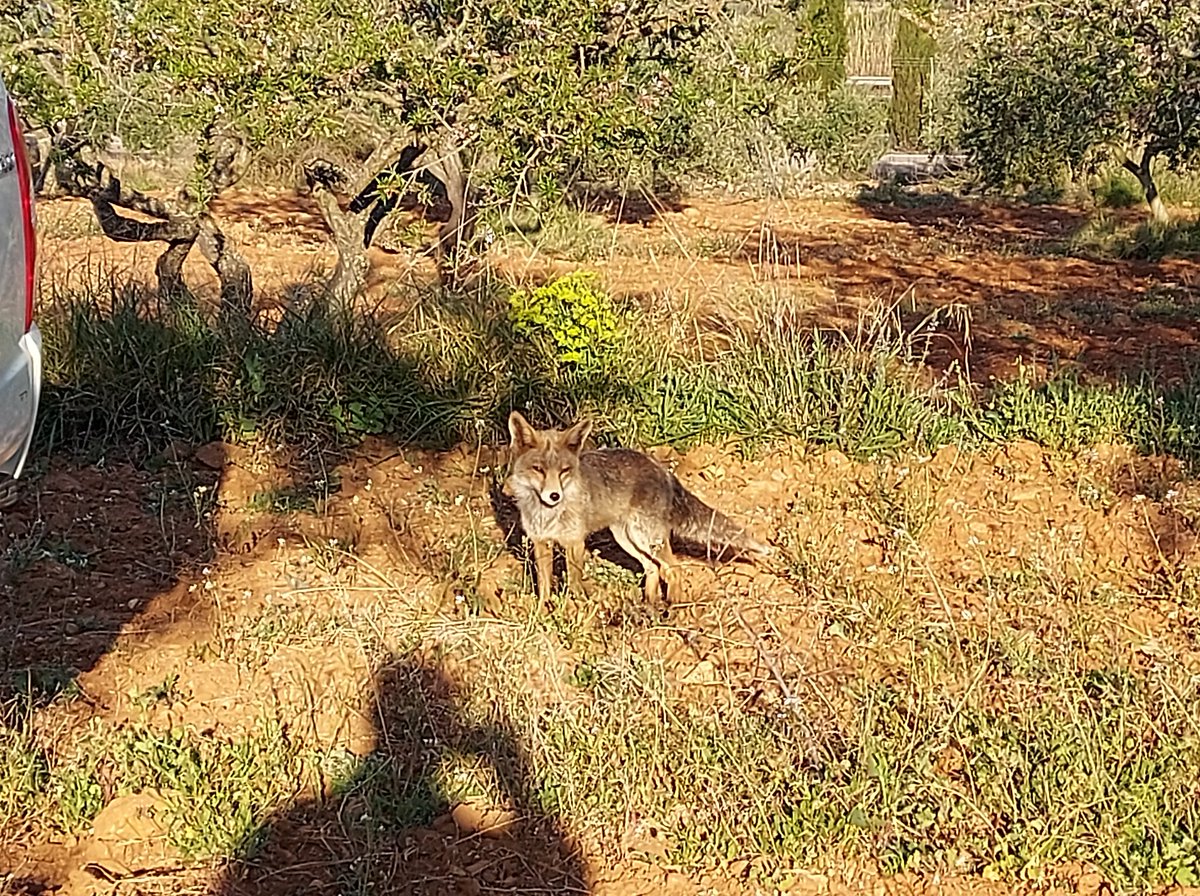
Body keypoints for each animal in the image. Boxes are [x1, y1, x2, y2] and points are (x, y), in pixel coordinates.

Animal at [504, 411, 771, 607]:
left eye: (564, 471)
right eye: (538, 469)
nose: (554, 495)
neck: (546, 515)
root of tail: (660, 467)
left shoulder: (574, 542)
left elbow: (574, 583)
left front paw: (577, 609)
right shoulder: (541, 542)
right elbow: (544, 585)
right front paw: (541, 613)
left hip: (647, 538)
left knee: (673, 569)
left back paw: (675, 611)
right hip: (628, 539)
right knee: (652, 568)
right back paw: (649, 607)